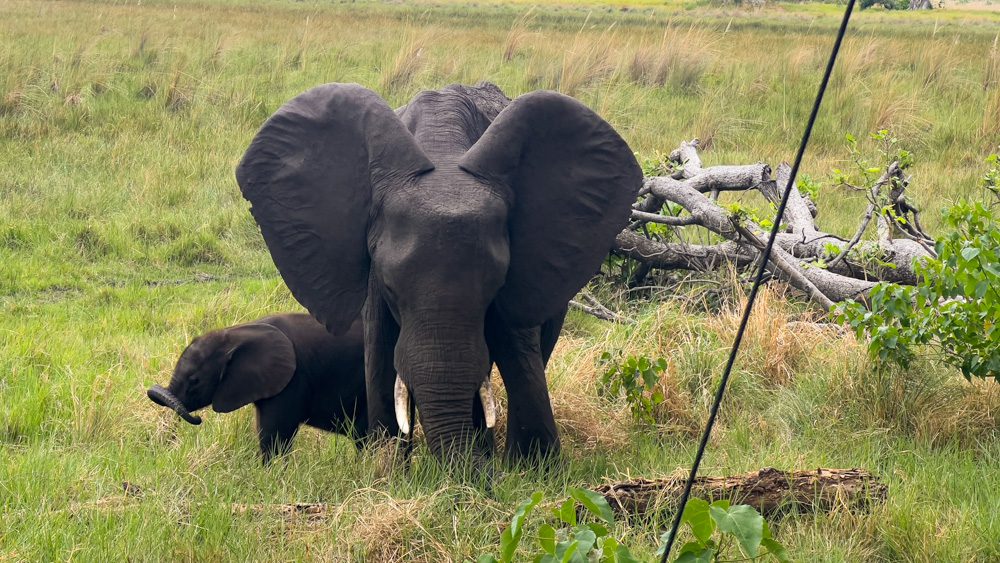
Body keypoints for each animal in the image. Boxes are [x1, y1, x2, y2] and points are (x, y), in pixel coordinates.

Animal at [235, 82, 642, 467]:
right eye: (389, 286)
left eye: (495, 285)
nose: (477, 478)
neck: (443, 151)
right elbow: (379, 358)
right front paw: (389, 474)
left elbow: (519, 356)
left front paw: (534, 473)